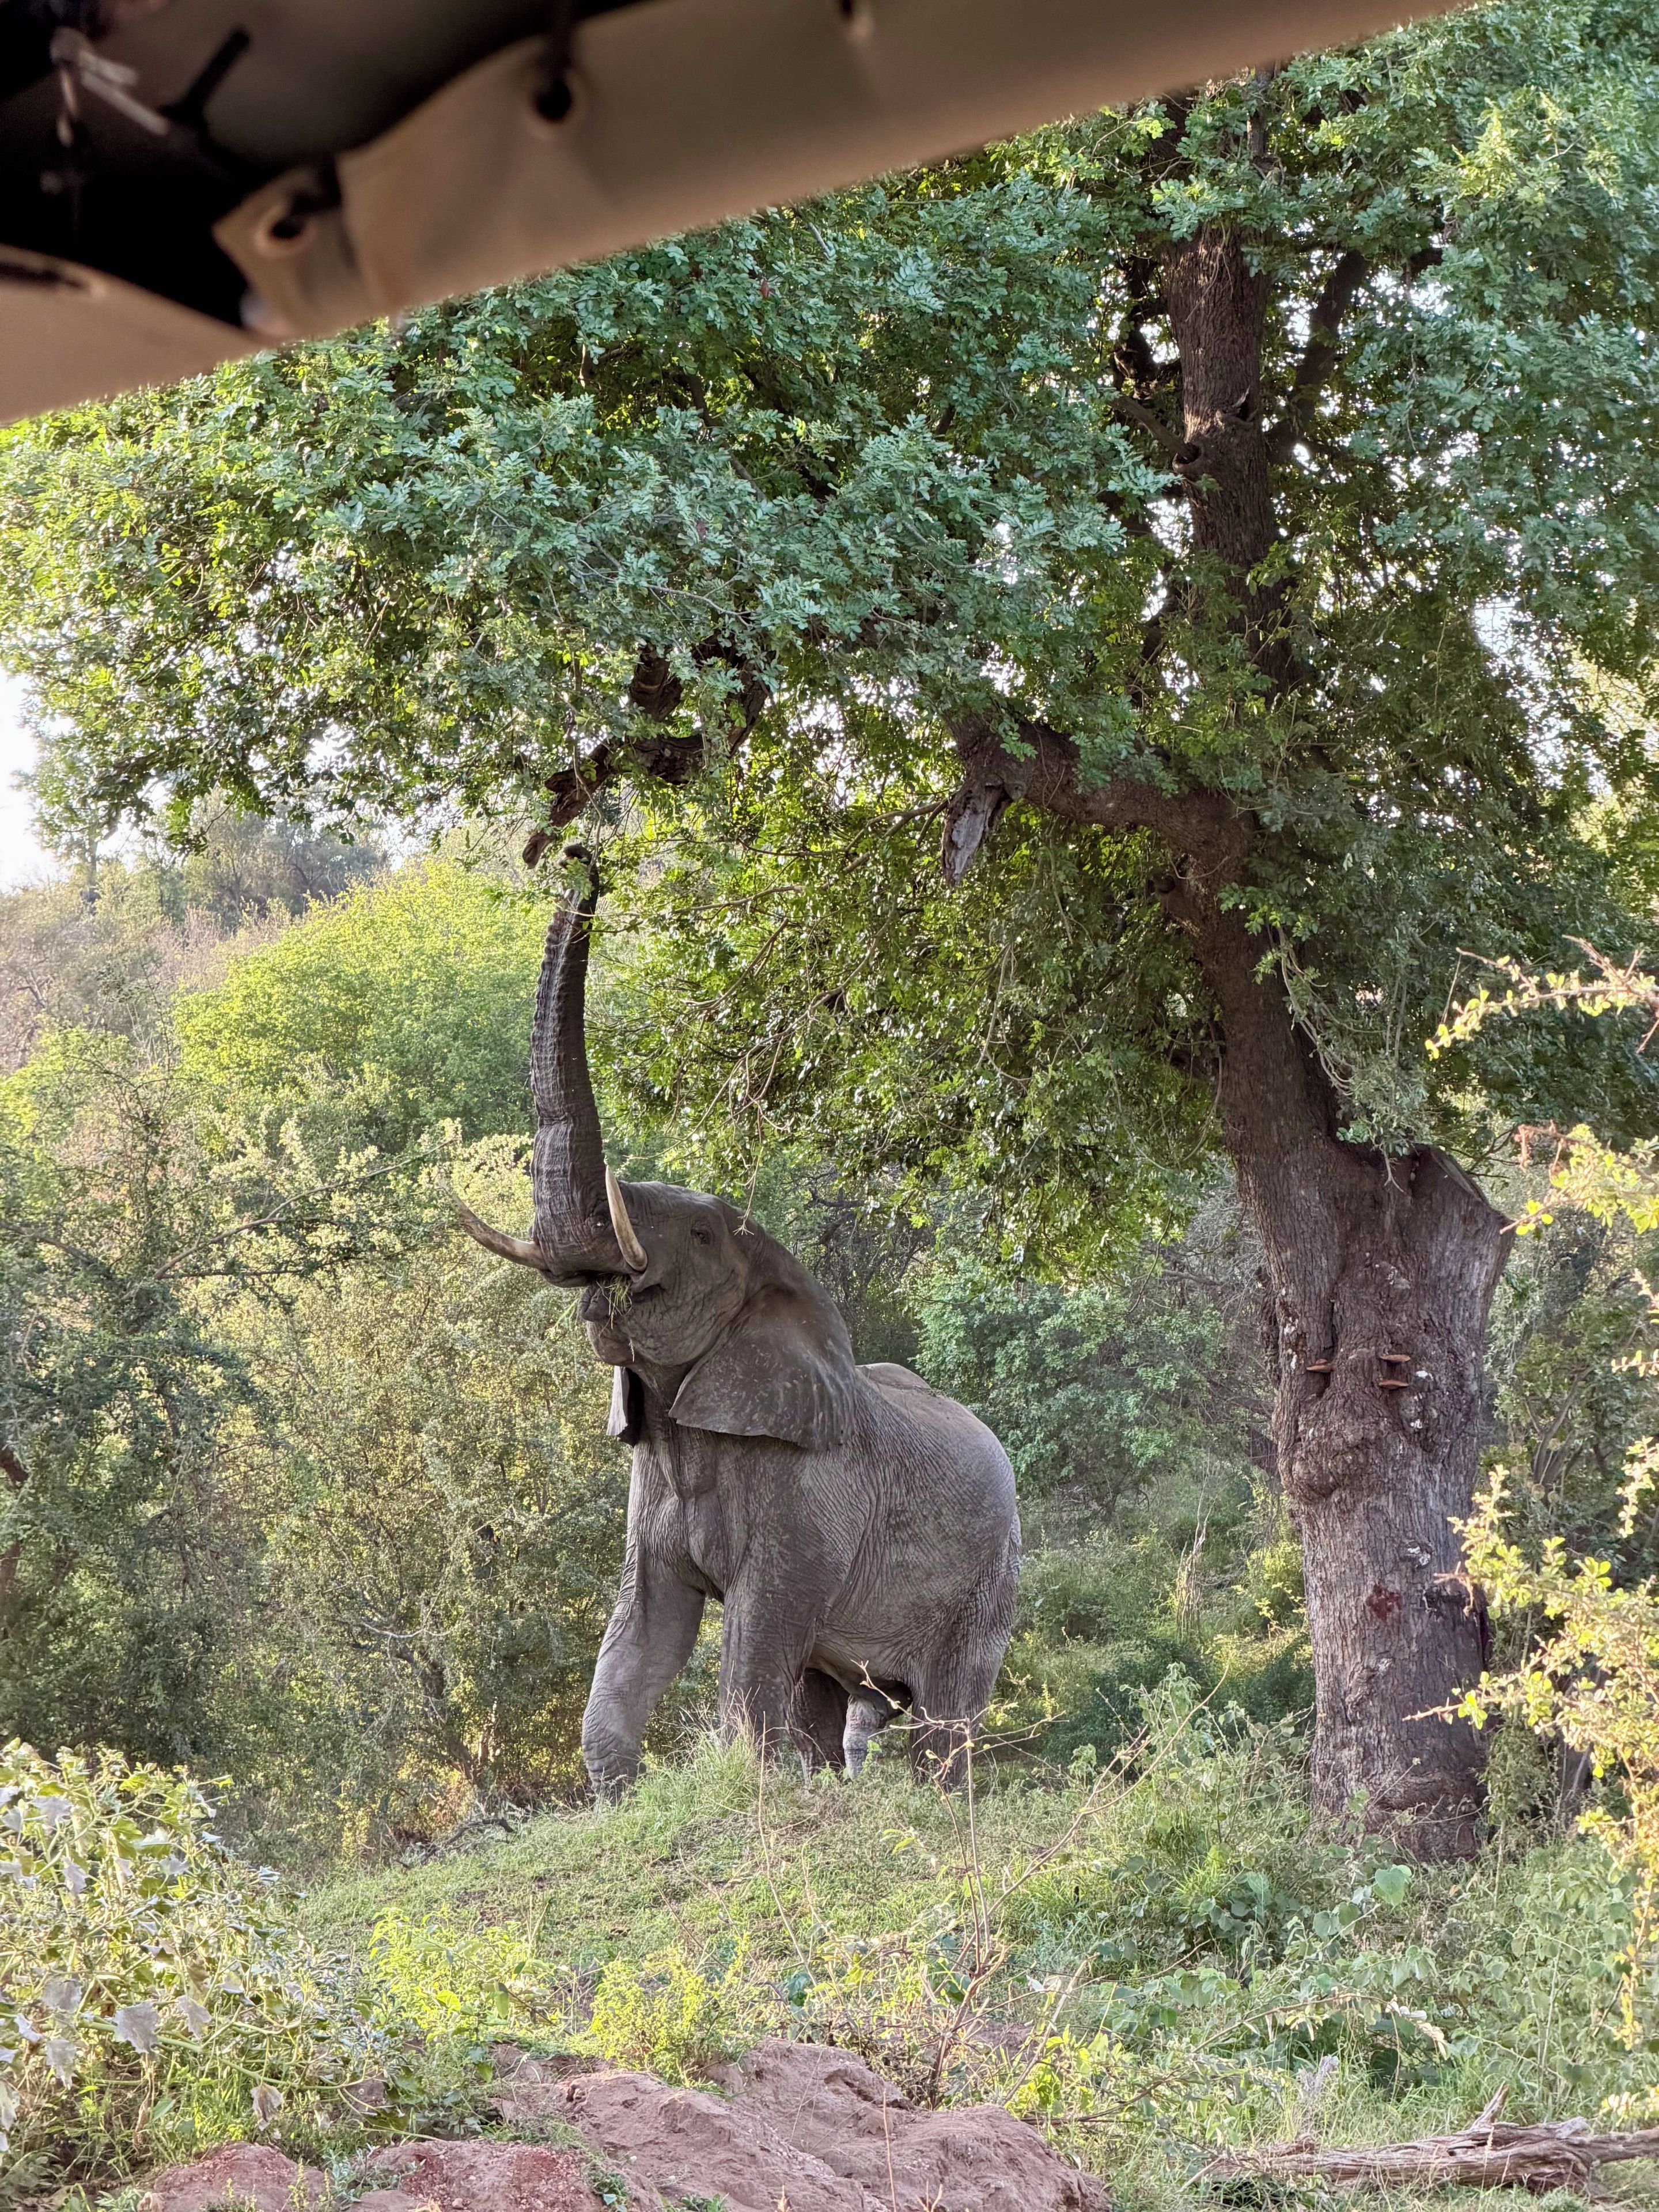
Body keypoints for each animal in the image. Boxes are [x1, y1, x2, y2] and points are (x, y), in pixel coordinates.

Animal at [459, 849, 1020, 1795]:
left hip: (988, 1582)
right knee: (825, 1690)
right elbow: (643, 1625)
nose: (580, 851)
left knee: (945, 1714)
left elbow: (756, 1634)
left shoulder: (809, 1499)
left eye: (699, 1233)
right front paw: (624, 1795)